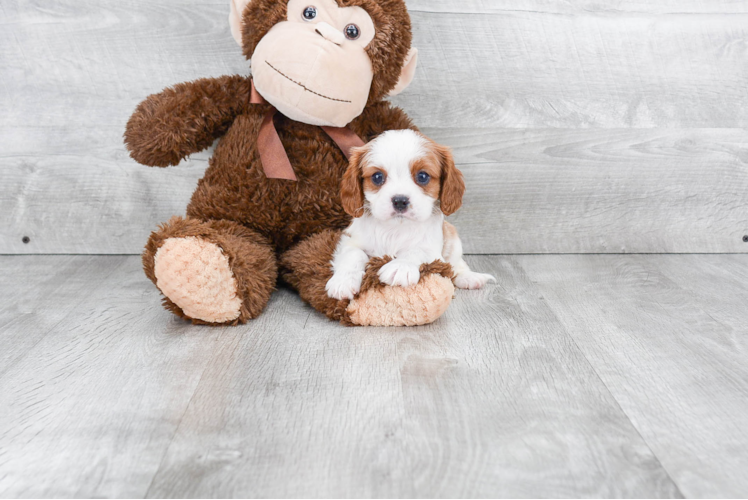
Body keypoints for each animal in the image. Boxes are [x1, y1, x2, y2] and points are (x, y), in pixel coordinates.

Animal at [324, 130, 494, 300]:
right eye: (377, 177)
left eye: (423, 176)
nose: (400, 201)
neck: (396, 227)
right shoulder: (349, 239)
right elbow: (353, 253)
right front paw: (343, 280)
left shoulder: (432, 251)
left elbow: (416, 251)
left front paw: (400, 266)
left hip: (453, 238)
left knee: (457, 264)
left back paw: (470, 277)